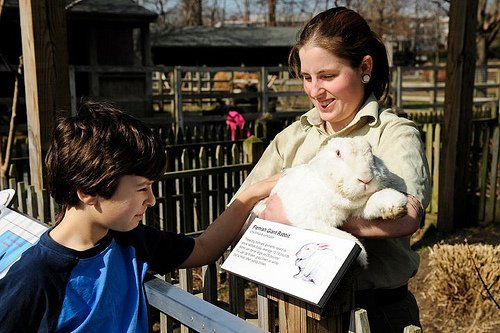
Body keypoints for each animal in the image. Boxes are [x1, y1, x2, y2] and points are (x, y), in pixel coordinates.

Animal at [252, 135, 408, 264]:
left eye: (372, 154)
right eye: (338, 153)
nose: (366, 178)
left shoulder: (357, 209)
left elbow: (372, 202)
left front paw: (397, 206)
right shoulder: (309, 221)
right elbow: (344, 237)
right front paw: (362, 257)